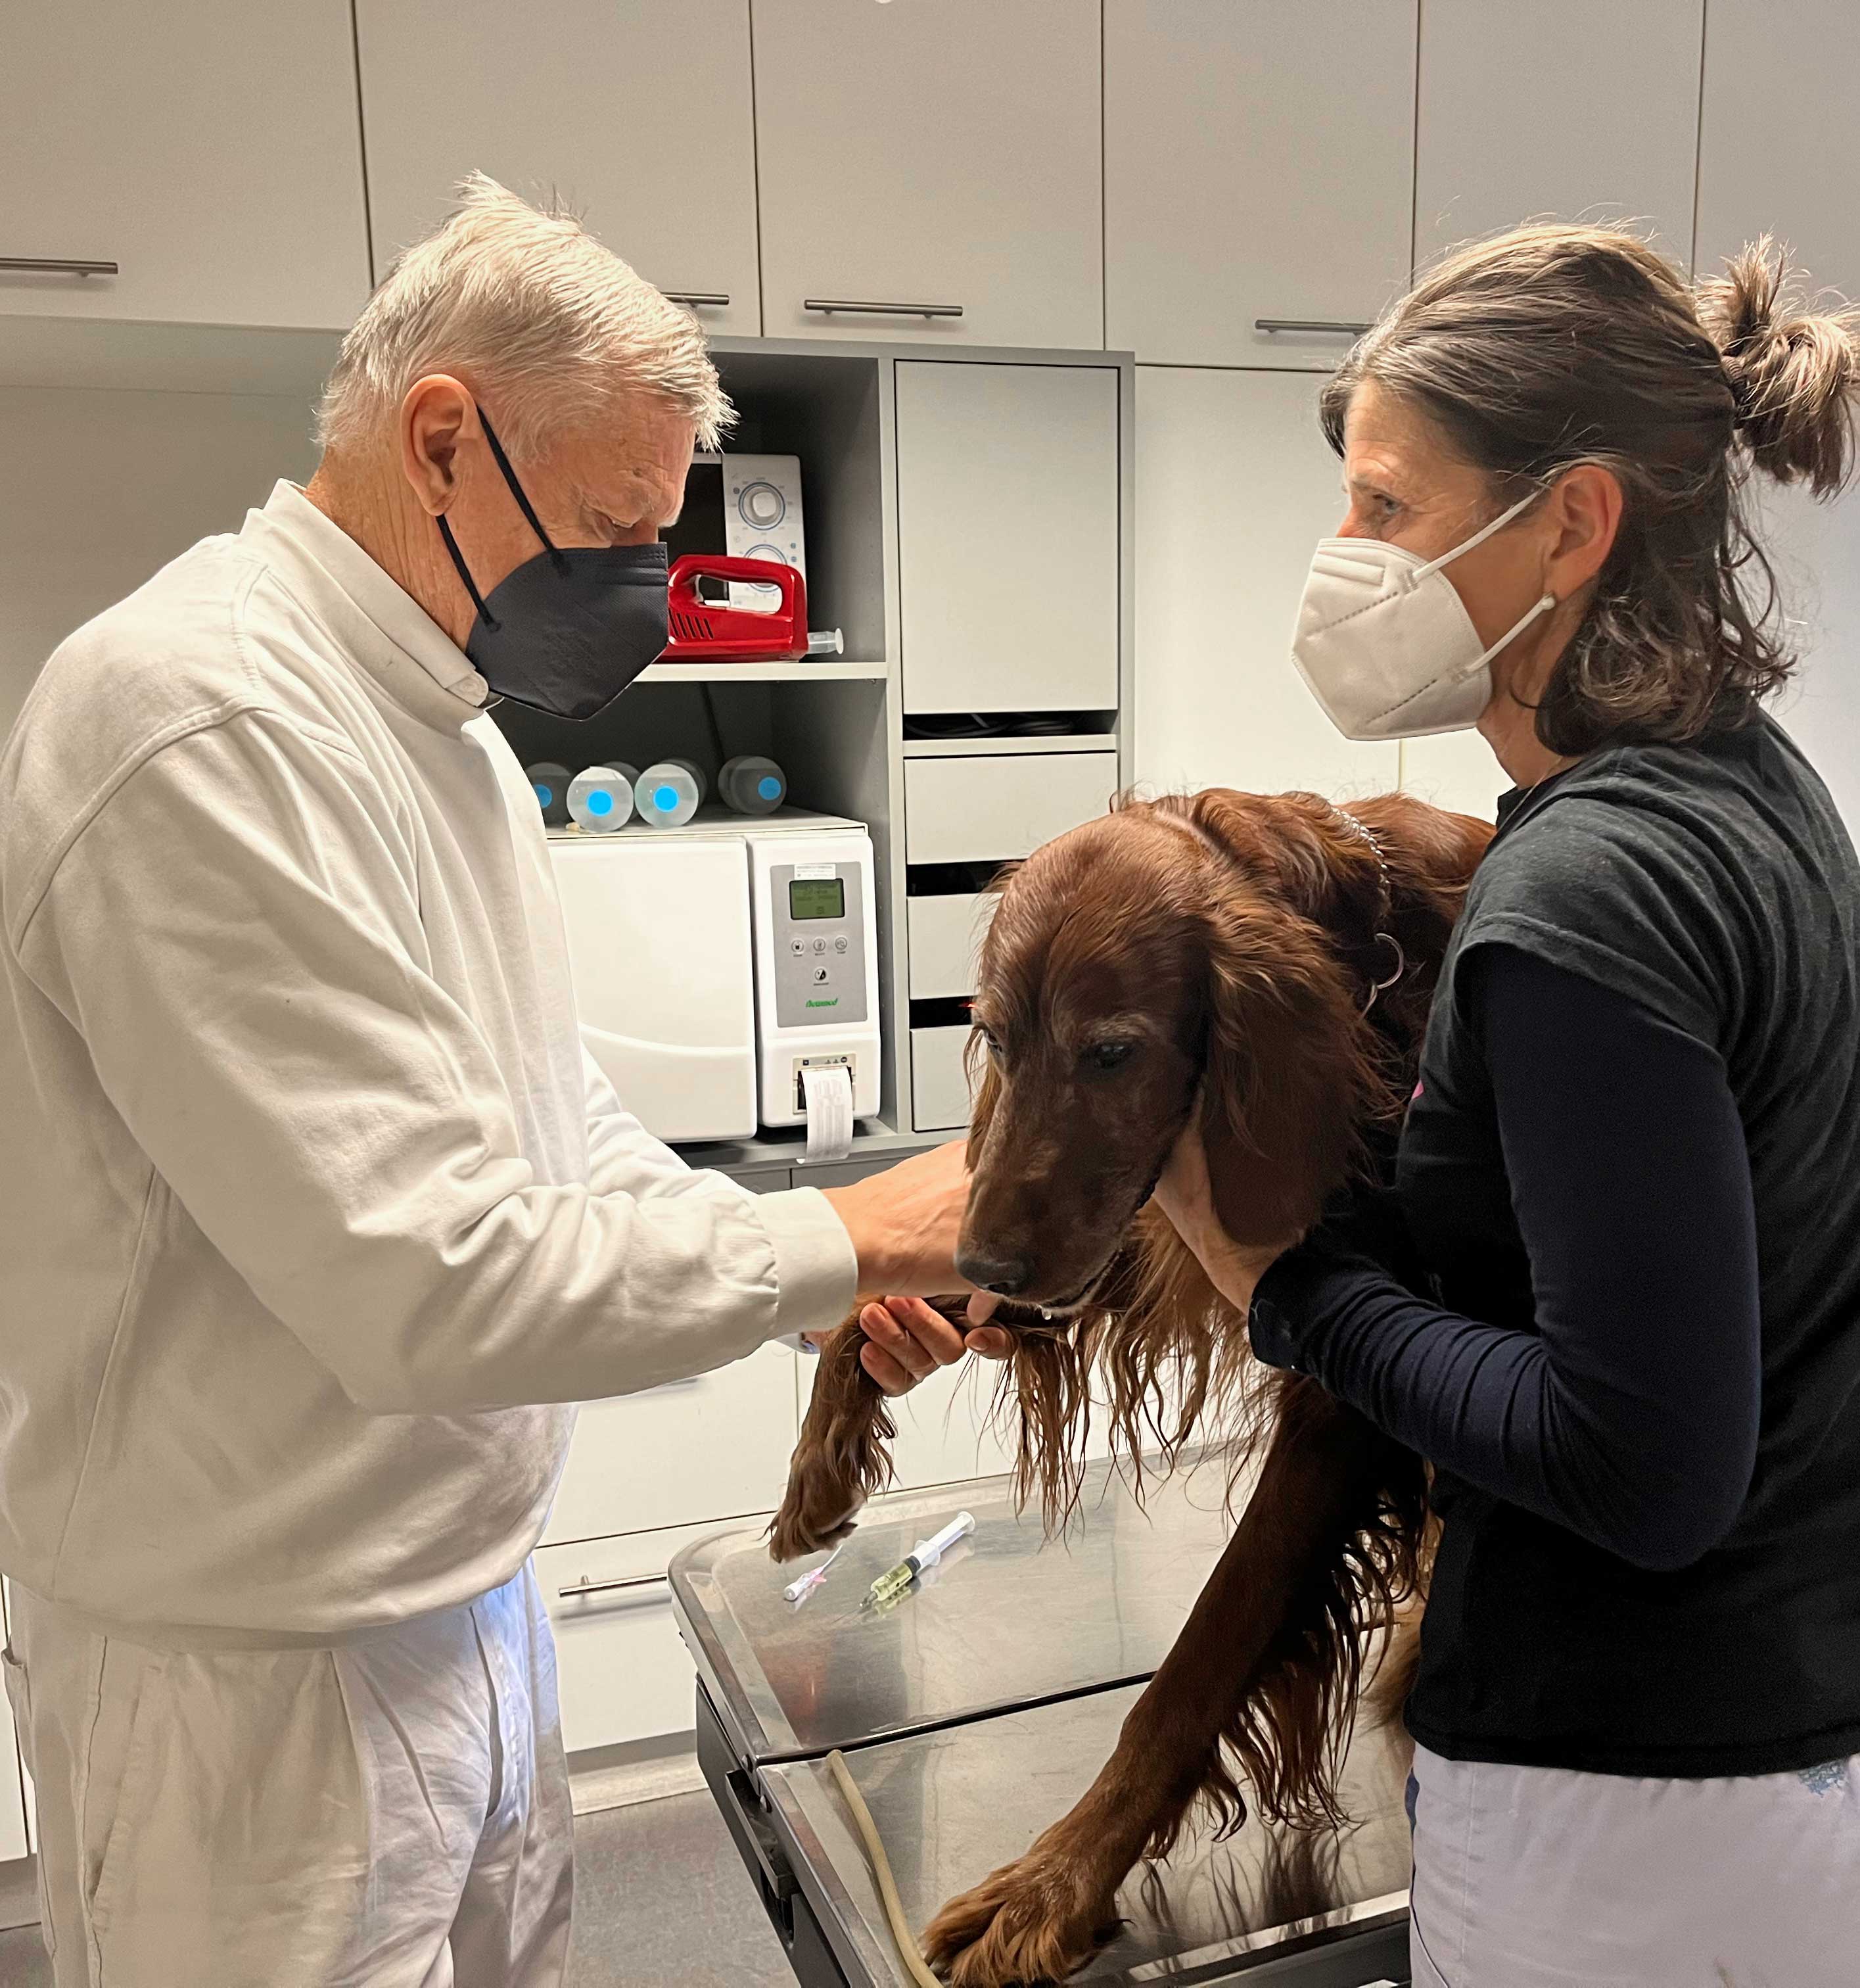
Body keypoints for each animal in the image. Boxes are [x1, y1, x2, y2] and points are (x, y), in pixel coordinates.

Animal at [763, 783, 1486, 1979]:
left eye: (1110, 1051)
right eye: (994, 1036)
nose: (986, 1264)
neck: (1364, 963)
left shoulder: (1341, 1390)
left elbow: (1200, 1659)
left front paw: (1052, 1884)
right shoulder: (1131, 1228)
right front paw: (820, 1464)